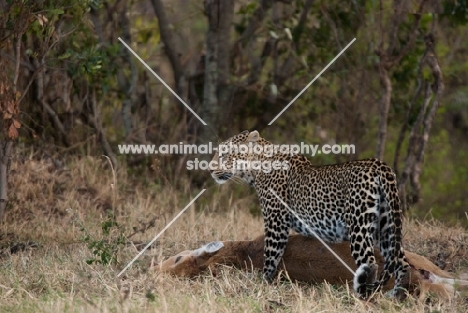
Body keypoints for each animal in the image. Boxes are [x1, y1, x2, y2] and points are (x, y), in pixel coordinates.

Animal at [208, 130, 410, 298]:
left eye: (225, 154)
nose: (210, 169)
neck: (256, 168)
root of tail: (378, 165)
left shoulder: (276, 222)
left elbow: (270, 257)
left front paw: (261, 285)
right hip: (386, 226)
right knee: (401, 262)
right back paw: (395, 298)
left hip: (359, 226)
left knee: (371, 263)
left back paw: (362, 297)